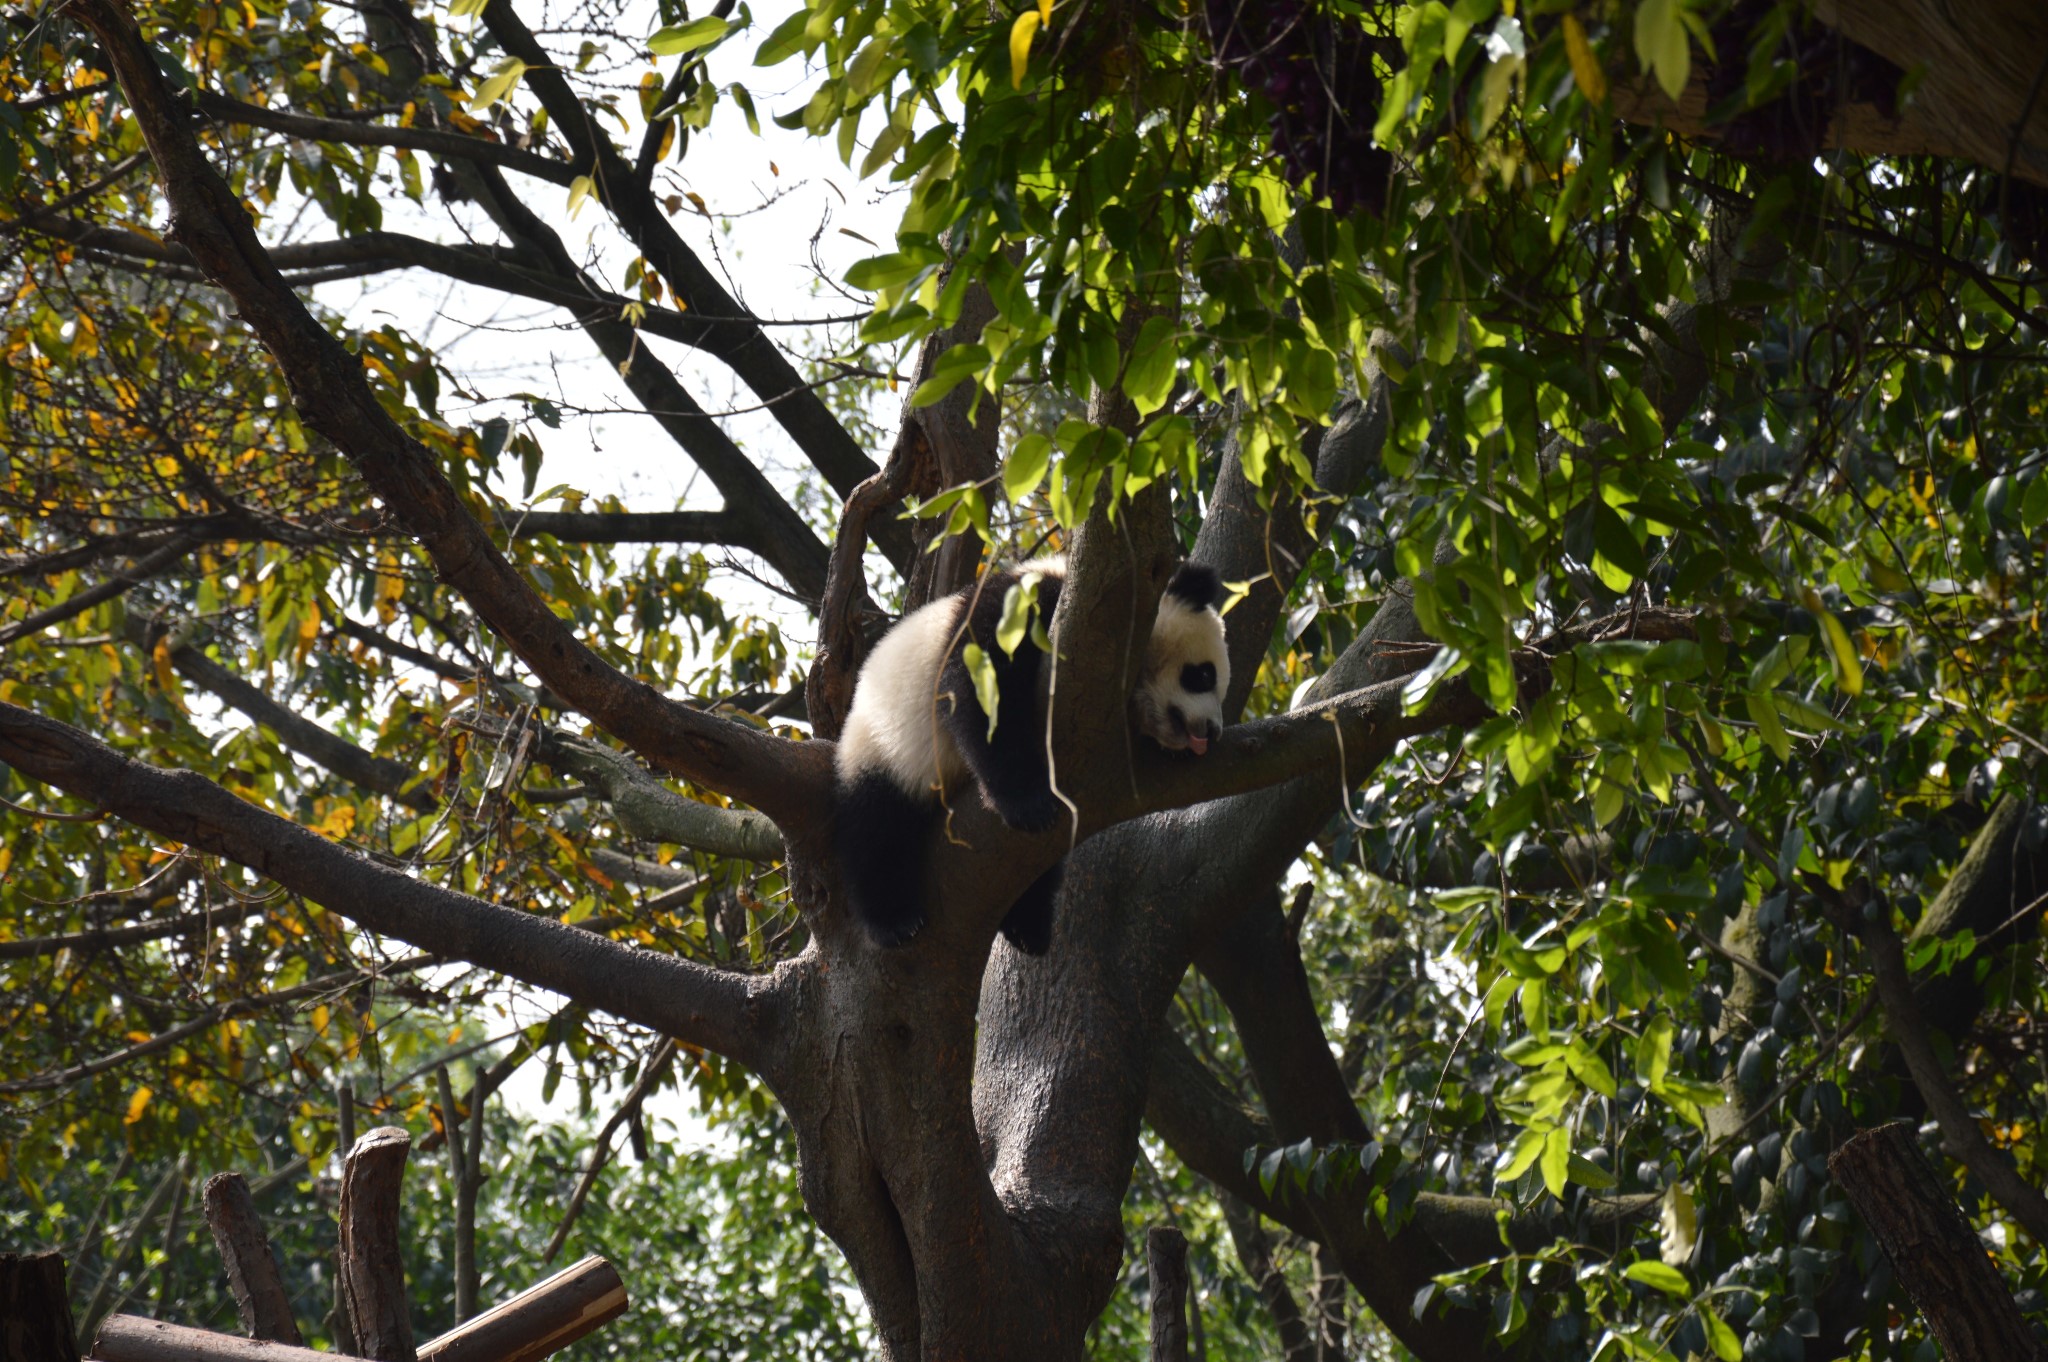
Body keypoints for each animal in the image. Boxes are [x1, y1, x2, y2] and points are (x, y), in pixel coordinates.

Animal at [835, 557, 1228, 950]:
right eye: (1203, 675)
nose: (1212, 731)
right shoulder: (1019, 608)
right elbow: (983, 691)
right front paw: (1027, 805)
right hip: (883, 748)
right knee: (878, 827)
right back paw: (895, 921)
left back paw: (1028, 927)